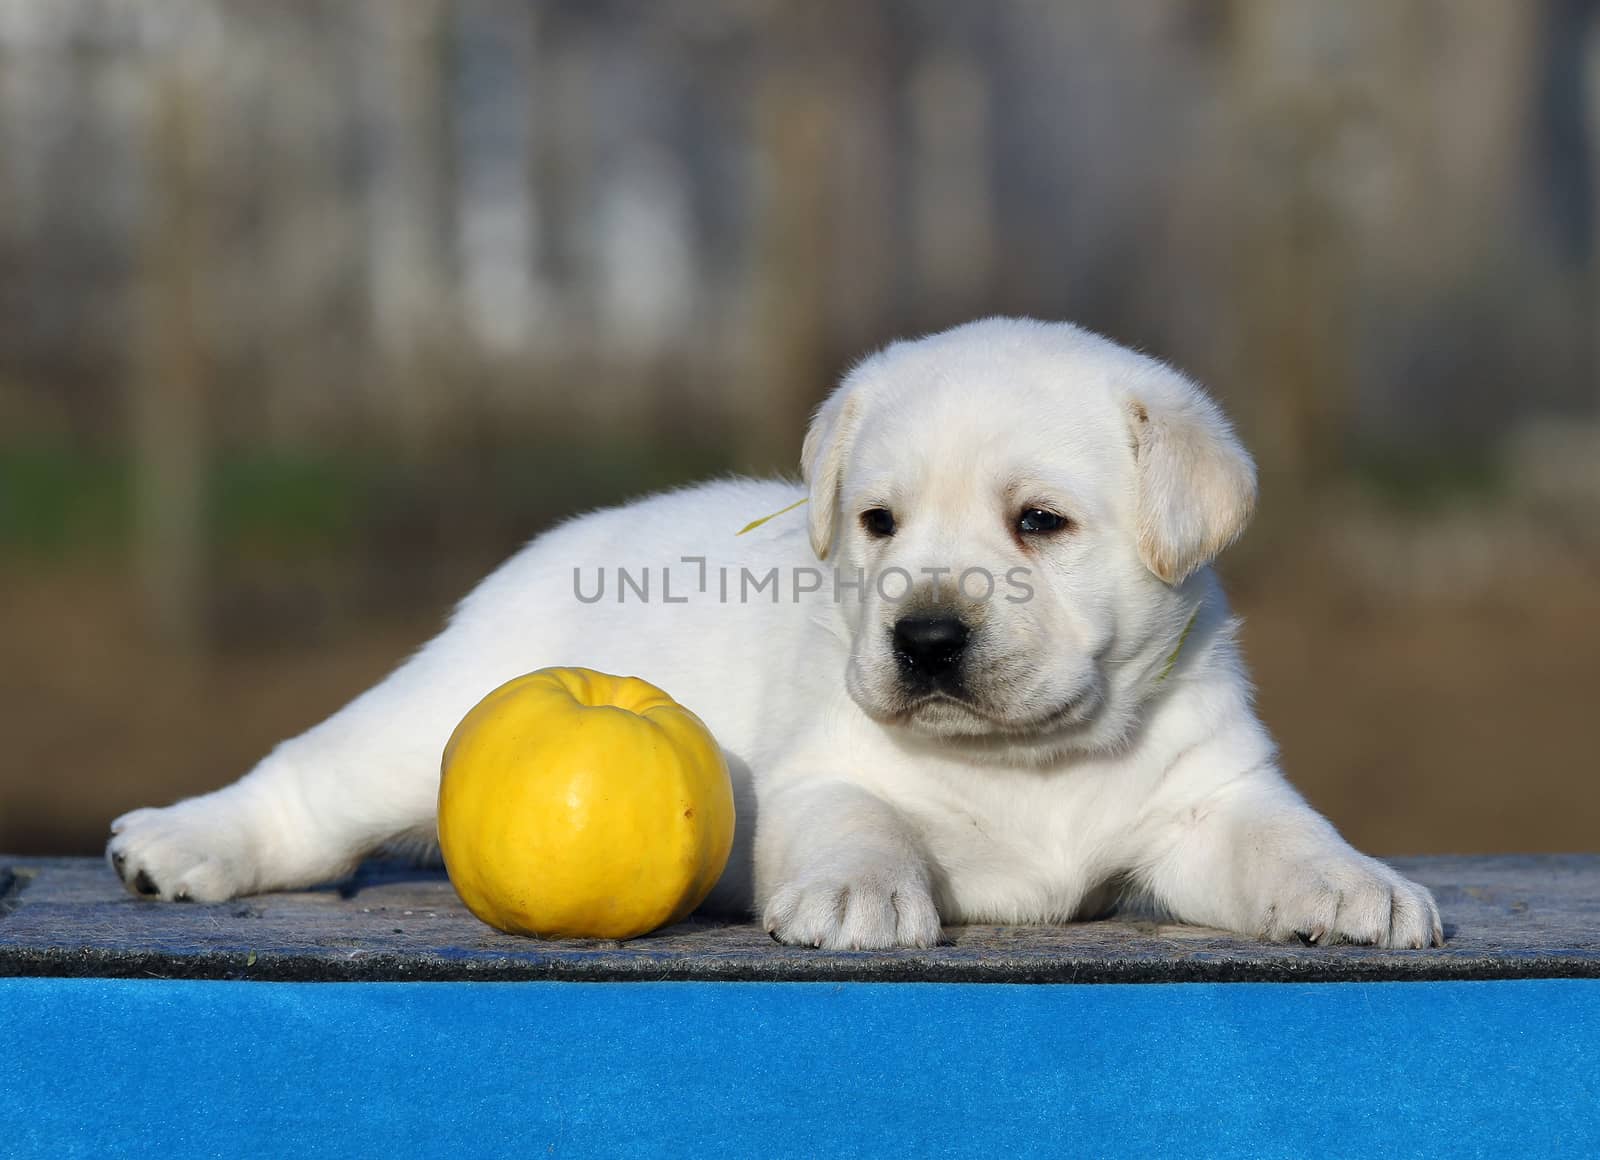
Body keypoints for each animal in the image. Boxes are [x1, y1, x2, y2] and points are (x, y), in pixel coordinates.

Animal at [106, 315, 1446, 940]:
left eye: (1040, 523)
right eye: (877, 522)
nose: (925, 636)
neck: (1031, 762)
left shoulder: (1210, 799)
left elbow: (1288, 838)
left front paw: (1360, 886)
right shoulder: (827, 773)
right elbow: (859, 824)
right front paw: (858, 894)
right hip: (429, 716)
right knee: (306, 786)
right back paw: (175, 840)